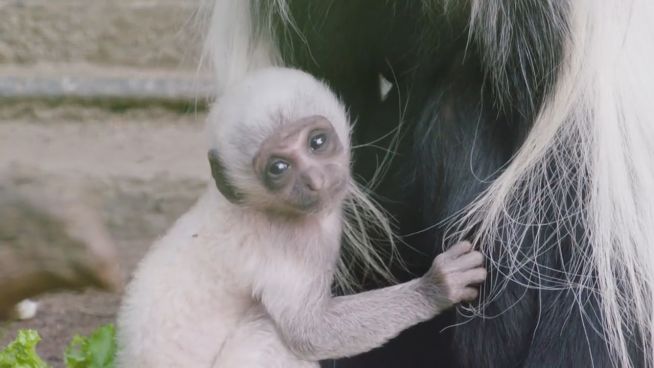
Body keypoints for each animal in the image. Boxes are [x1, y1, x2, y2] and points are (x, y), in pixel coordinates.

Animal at [116, 67, 486, 366]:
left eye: (317, 142)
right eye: (279, 168)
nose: (315, 180)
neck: (260, 205)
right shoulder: (292, 242)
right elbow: (309, 332)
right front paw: (437, 287)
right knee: (268, 330)